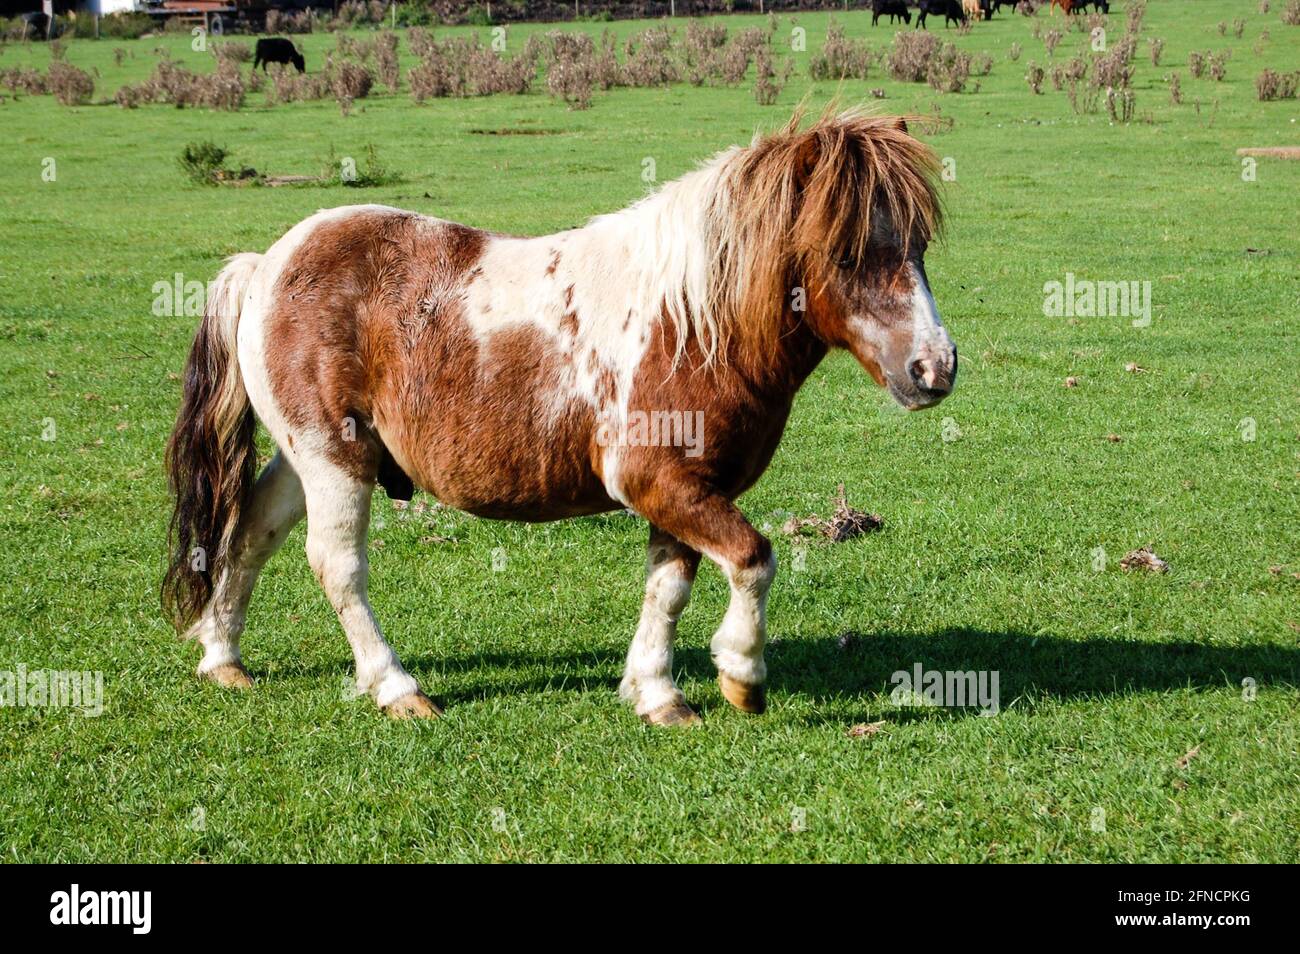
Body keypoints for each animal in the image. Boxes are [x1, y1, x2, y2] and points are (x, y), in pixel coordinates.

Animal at [162, 108, 956, 727]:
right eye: (846, 252)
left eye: (918, 245)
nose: (935, 367)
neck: (694, 323)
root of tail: (266, 265)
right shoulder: (663, 484)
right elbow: (754, 559)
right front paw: (741, 676)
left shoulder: (687, 490)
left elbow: (668, 588)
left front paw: (657, 694)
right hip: (335, 460)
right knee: (339, 567)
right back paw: (396, 688)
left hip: (308, 457)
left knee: (249, 533)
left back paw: (223, 658)